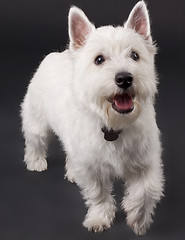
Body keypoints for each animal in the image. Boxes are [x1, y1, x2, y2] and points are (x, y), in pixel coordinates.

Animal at [21, 0, 164, 235]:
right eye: (99, 59)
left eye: (135, 55)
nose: (124, 78)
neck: (114, 125)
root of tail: (56, 54)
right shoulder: (92, 168)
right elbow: (99, 195)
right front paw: (99, 219)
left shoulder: (146, 162)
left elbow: (145, 192)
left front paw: (138, 220)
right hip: (37, 120)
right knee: (35, 140)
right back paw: (36, 162)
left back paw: (72, 172)